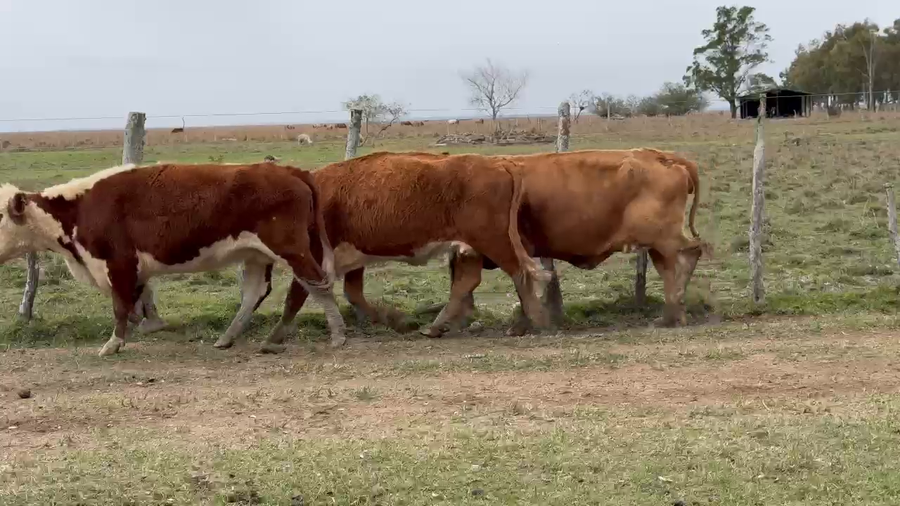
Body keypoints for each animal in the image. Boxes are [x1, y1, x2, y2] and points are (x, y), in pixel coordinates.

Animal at [0, 162, 347, 357]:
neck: (80, 207)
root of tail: (288, 170)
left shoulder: (118, 263)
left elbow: (120, 306)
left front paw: (113, 344)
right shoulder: (134, 269)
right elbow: (140, 301)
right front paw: (150, 325)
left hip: (291, 248)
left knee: (317, 284)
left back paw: (338, 334)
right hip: (257, 254)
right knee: (255, 293)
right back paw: (227, 338)